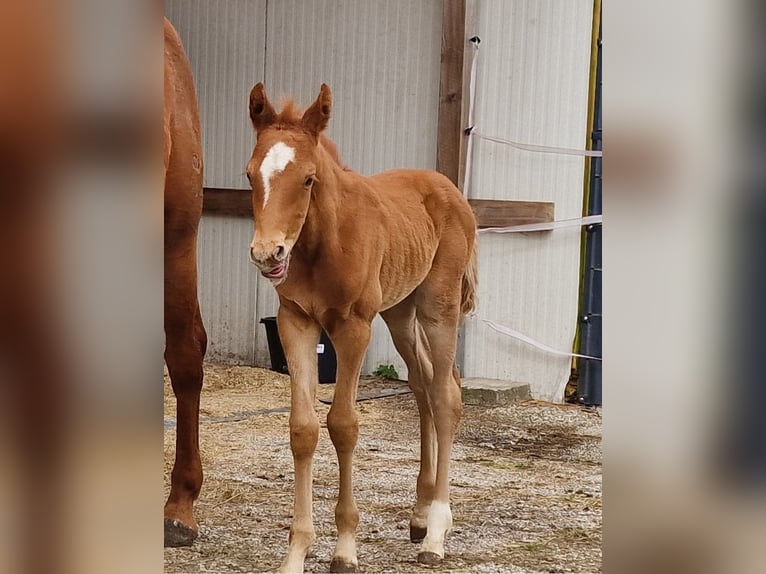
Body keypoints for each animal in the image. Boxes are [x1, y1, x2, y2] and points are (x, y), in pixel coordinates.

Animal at [246, 83, 476, 572]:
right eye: (251, 174)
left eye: (308, 179)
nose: (268, 253)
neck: (323, 242)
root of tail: (449, 188)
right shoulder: (297, 321)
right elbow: (304, 428)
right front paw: (296, 553)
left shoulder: (353, 329)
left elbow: (344, 424)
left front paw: (345, 548)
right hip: (399, 313)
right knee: (422, 386)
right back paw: (419, 514)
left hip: (438, 307)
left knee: (445, 394)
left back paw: (436, 532)